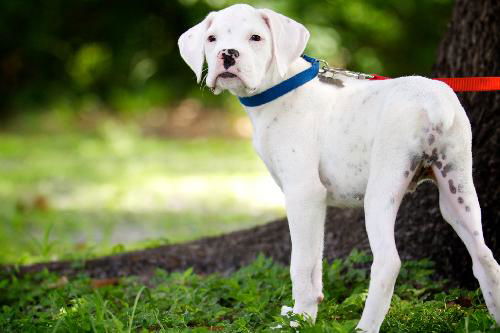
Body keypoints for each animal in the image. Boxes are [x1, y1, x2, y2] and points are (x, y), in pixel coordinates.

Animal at [179, 3, 500, 330]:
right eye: (212, 39)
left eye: (256, 37)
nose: (228, 54)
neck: (281, 88)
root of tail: (434, 103)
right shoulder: (316, 203)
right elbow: (315, 260)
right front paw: (307, 314)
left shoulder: (302, 193)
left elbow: (300, 264)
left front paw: (298, 320)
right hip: (457, 188)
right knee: (485, 257)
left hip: (381, 190)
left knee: (388, 262)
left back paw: (365, 327)